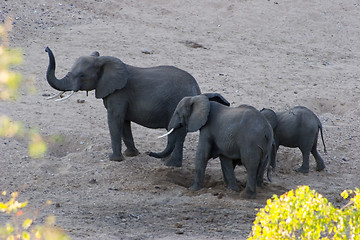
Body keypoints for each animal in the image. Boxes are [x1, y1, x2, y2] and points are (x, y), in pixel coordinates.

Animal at [45, 47, 229, 167]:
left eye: (82, 76)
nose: (46, 49)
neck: (104, 60)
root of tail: (197, 89)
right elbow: (124, 123)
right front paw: (132, 155)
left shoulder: (119, 94)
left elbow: (115, 120)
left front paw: (114, 159)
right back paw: (166, 161)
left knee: (178, 134)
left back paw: (170, 165)